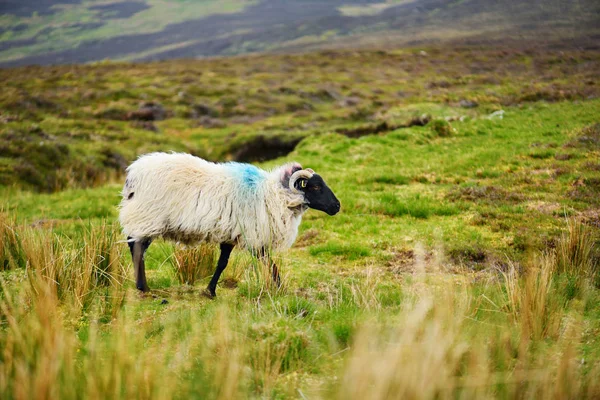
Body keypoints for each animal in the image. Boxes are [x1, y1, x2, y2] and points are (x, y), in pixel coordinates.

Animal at [119, 153, 340, 296]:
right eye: (316, 187)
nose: (337, 206)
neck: (275, 195)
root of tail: (133, 175)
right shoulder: (253, 235)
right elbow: (268, 262)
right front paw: (280, 287)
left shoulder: (231, 234)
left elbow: (223, 263)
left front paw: (210, 290)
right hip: (147, 216)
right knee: (137, 248)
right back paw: (143, 287)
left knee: (136, 246)